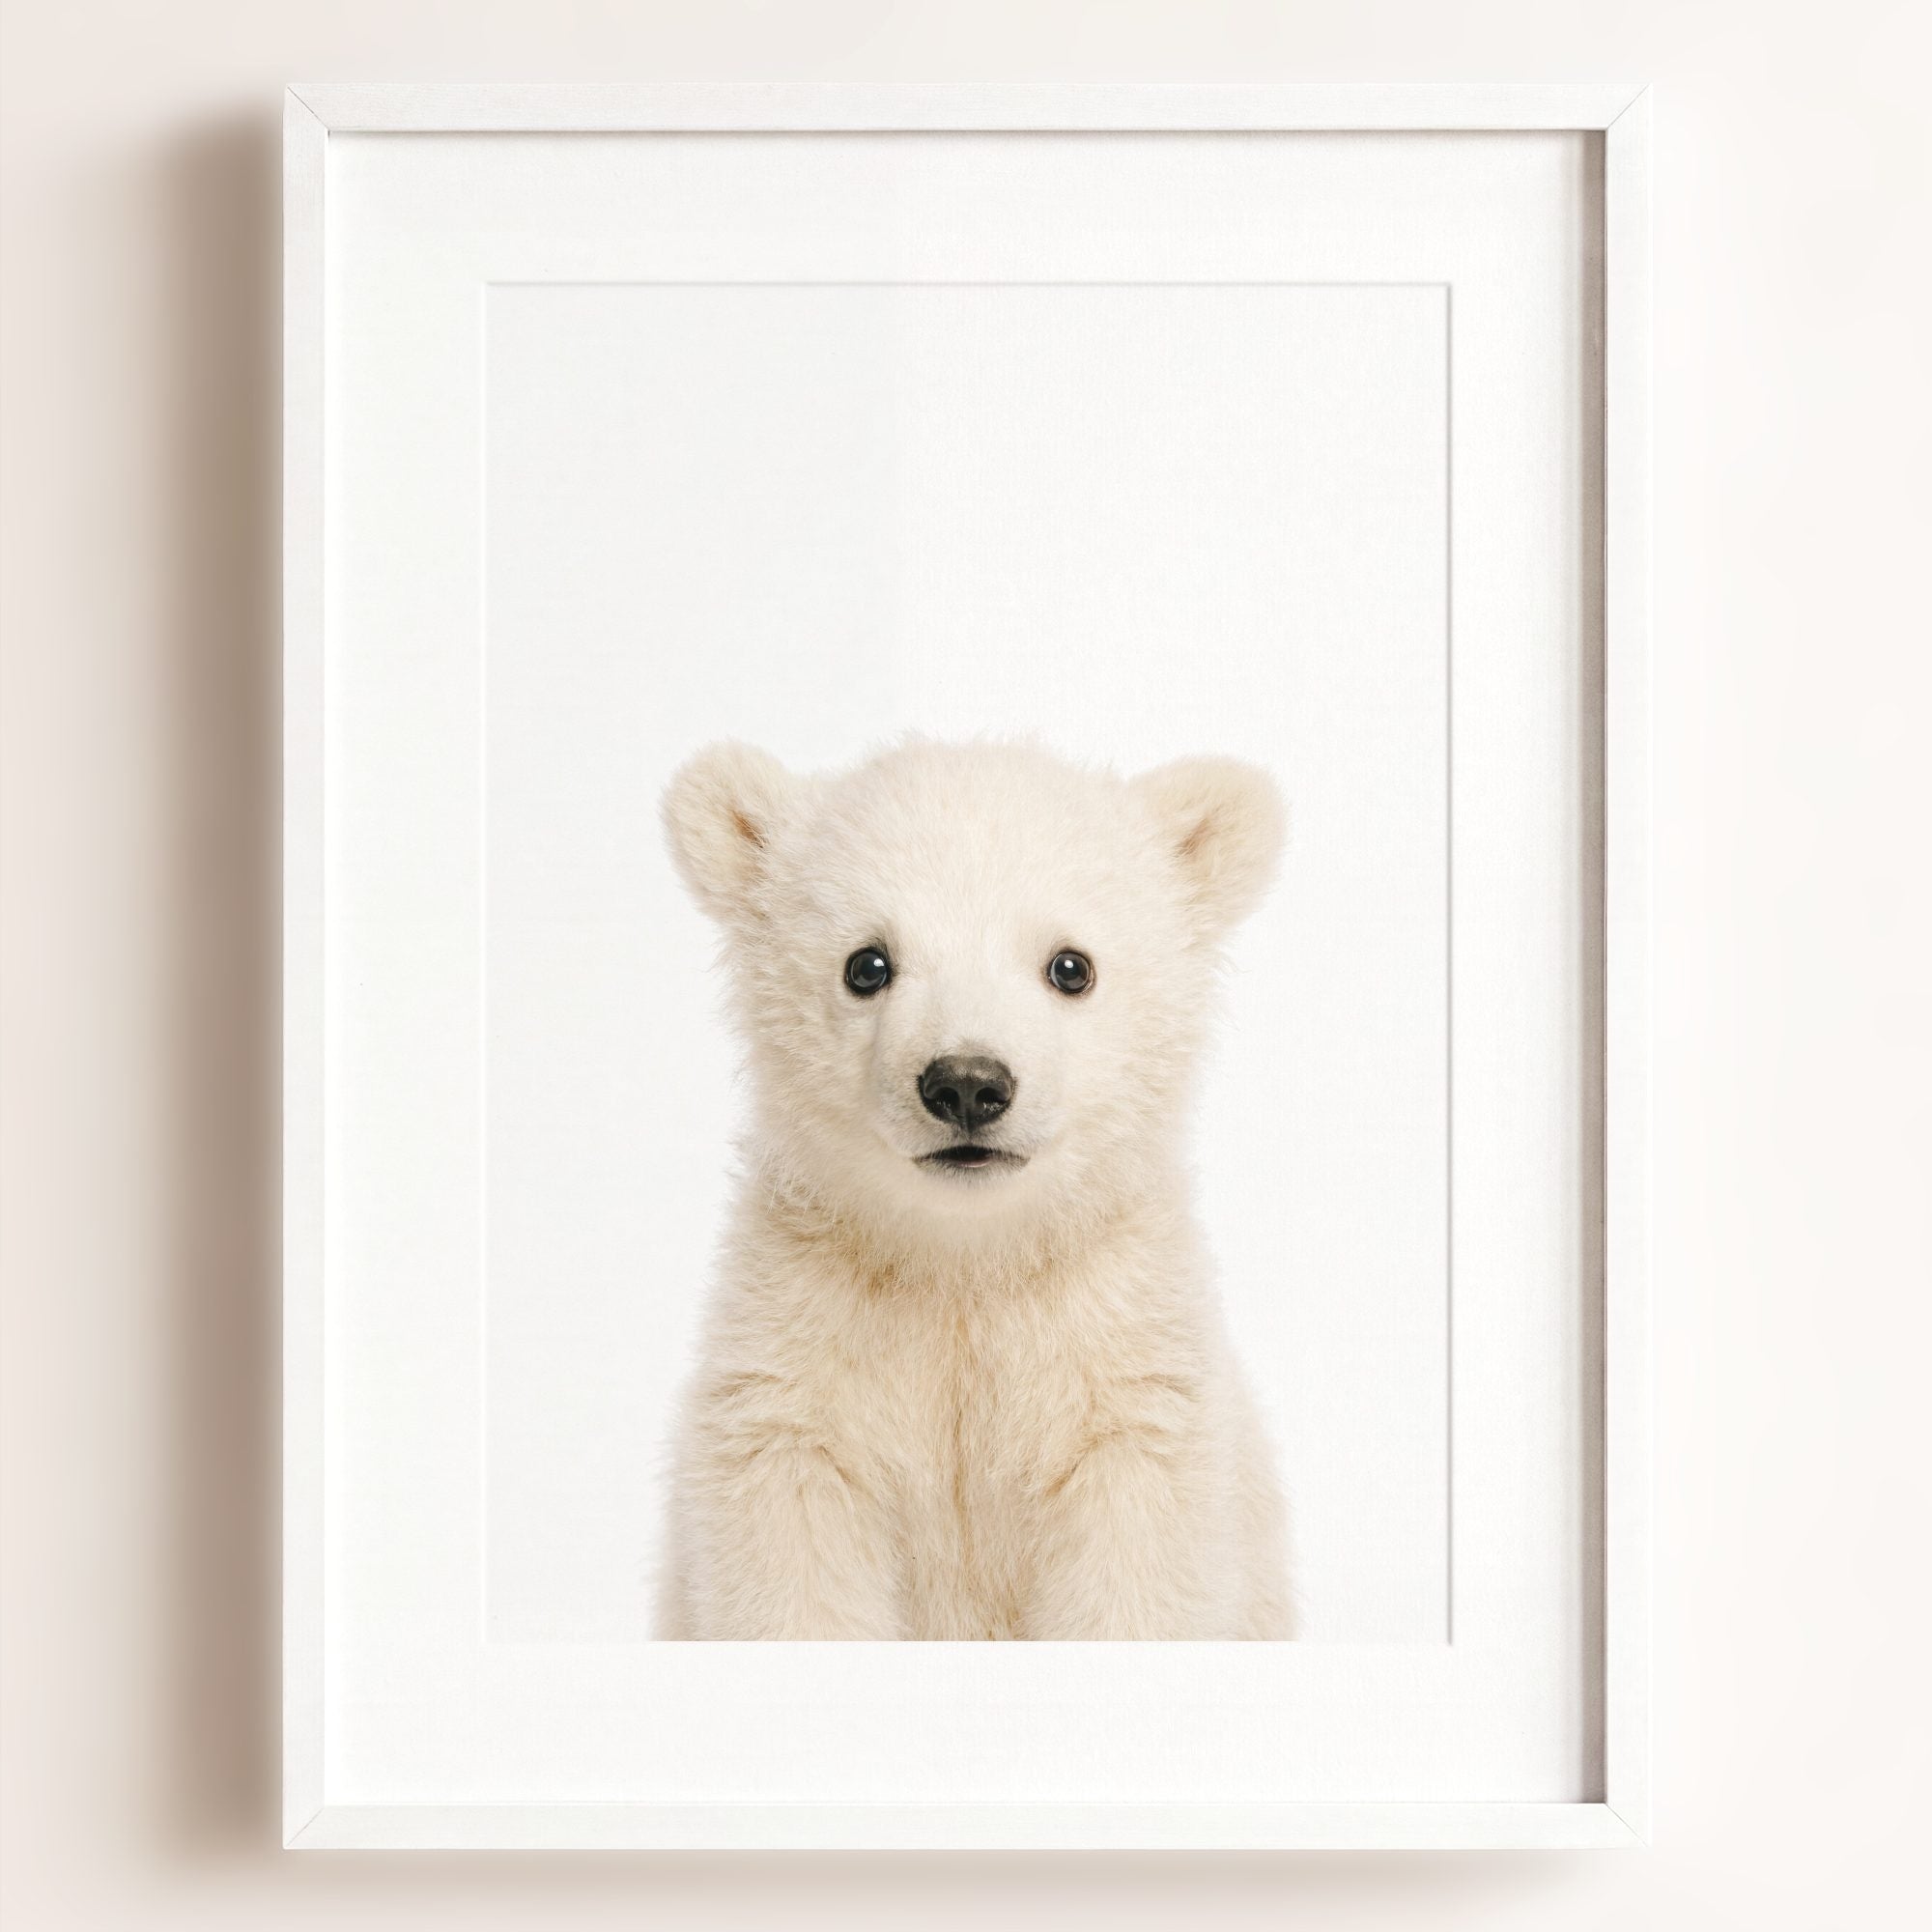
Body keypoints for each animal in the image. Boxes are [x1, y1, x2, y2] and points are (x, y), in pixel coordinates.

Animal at [654, 737, 1291, 1639]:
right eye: (867, 964)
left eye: (1071, 966)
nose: (966, 1084)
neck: (966, 1261)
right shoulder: (798, 1368)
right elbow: (792, 1564)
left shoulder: (1124, 1377)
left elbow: (1136, 1573)